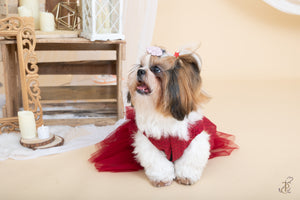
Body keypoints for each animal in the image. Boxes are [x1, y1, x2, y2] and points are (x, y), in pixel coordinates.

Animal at [127, 46, 211, 186]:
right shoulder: (149, 142)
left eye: (156, 69)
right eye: (140, 65)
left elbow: (190, 160)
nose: (140, 71)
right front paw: (162, 178)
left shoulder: (195, 140)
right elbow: (158, 162)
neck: (163, 111)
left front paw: (186, 176)